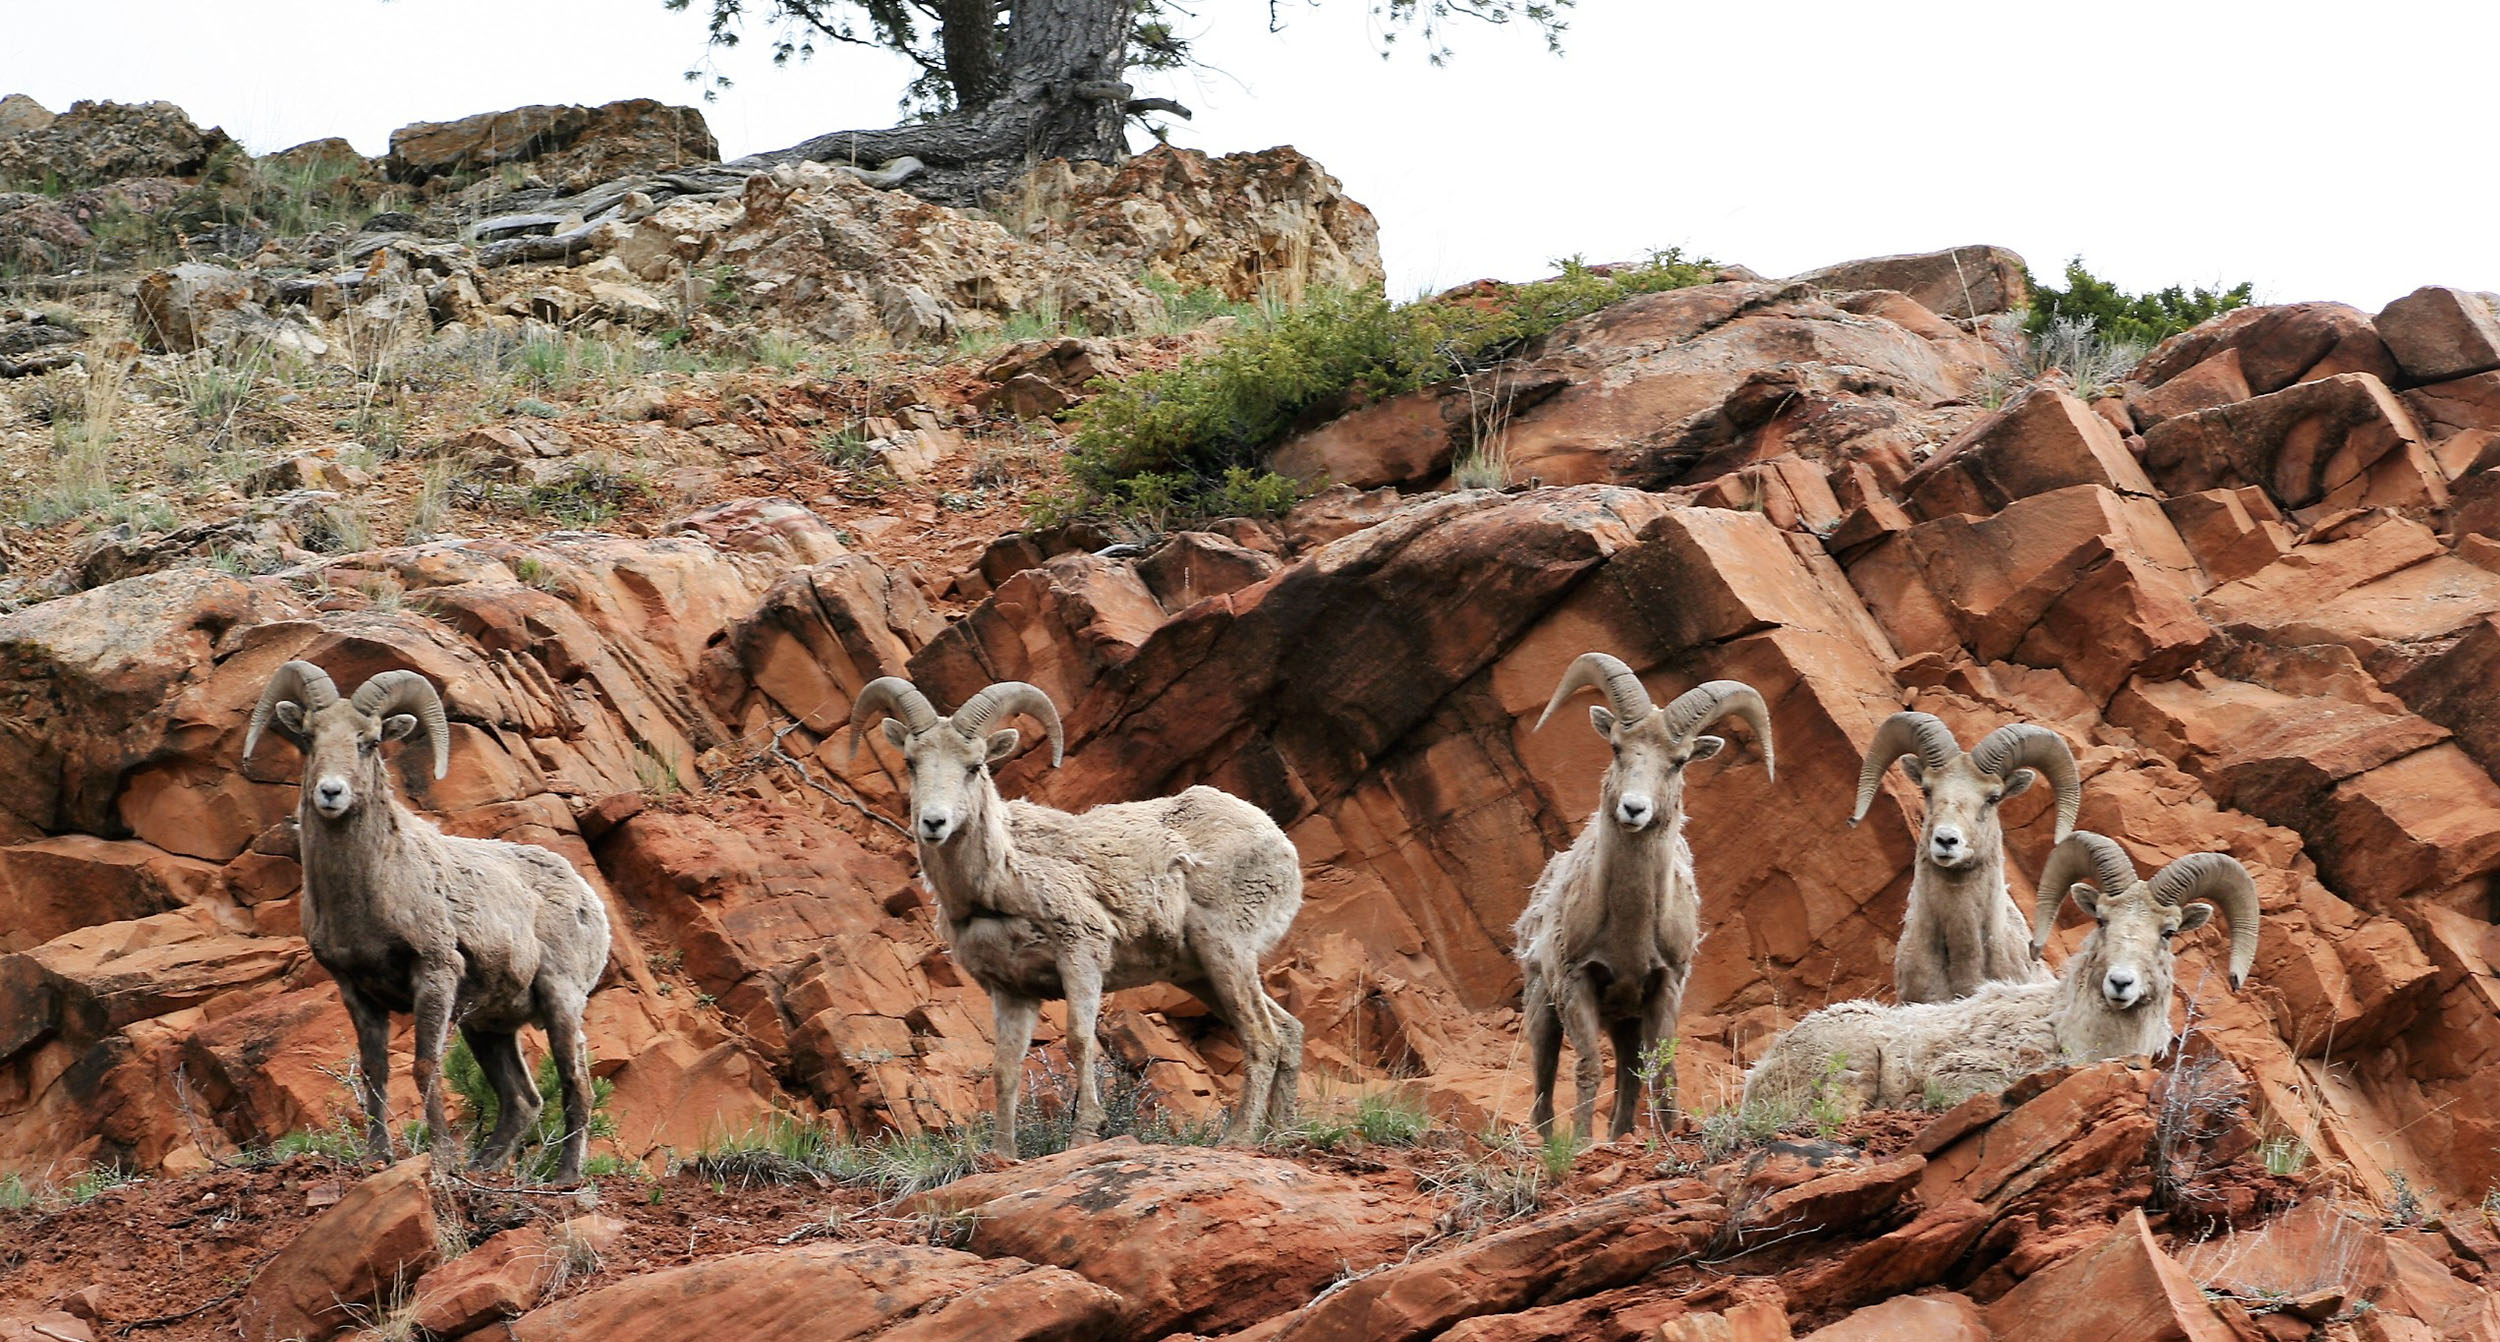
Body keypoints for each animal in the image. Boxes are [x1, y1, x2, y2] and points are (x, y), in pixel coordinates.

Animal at [243, 661, 612, 1183]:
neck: (368, 891)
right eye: (310, 737)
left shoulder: (434, 973)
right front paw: (378, 1157)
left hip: (561, 1001)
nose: (330, 793)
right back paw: (483, 1166)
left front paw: (438, 1158)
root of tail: (586, 896)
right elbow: (374, 1071)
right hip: (489, 1028)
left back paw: (565, 1178)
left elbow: (423, 1066)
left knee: (576, 1082)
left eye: (370, 740)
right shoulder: (356, 990)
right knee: (523, 1099)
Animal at [848, 676, 1305, 1157]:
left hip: (1225, 948)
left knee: (1264, 1037)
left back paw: (1238, 1139)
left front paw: (1085, 1134)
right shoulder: (1010, 991)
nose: (933, 823)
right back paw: (1281, 1133)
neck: (995, 886)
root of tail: (1278, 841)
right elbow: (1005, 1068)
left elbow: (1080, 1041)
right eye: (912, 762)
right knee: (1289, 1031)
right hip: (1199, 973)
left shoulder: (1082, 956)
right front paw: (1003, 1154)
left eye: (974, 766)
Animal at [1513, 652, 1774, 1143]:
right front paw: (1580, 1145)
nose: (1633, 809)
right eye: (1617, 746)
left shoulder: (1663, 987)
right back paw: (1550, 1140)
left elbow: (1663, 1074)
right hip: (1543, 1006)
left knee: (1629, 1078)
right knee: (1544, 1081)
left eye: (1680, 760)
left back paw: (1621, 1137)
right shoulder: (1577, 983)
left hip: (1625, 1022)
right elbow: (1587, 1069)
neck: (1628, 932)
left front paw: (1669, 1136)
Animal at [1742, 831, 2260, 1116]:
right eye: (2102, 919)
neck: (2068, 1030)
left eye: (2168, 932)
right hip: (1852, 1062)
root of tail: (1760, 1073)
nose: (2120, 984)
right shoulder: (1962, 1074)